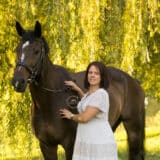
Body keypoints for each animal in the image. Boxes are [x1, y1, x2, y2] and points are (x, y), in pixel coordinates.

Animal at [11, 21, 145, 160]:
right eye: (17, 50)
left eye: (36, 51)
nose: (18, 82)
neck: (49, 102)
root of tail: (132, 80)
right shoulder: (47, 146)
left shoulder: (70, 145)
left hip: (133, 128)